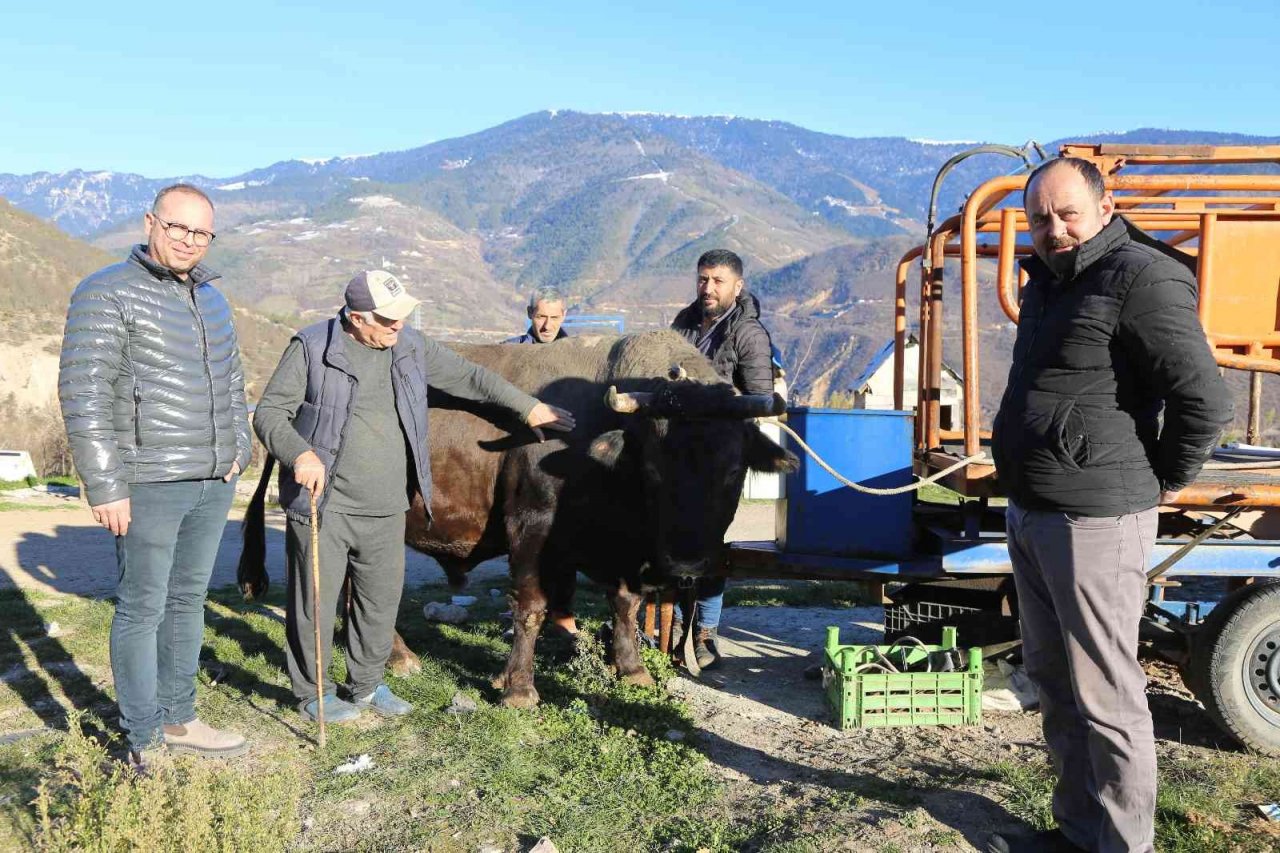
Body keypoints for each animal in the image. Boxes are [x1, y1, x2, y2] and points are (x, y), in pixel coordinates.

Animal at [236, 327, 793, 706]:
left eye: (734, 469)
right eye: (656, 466)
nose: (686, 567)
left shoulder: (621, 551)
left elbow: (626, 603)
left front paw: (632, 669)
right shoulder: (532, 526)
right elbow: (531, 605)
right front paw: (519, 688)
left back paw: (394, 655)